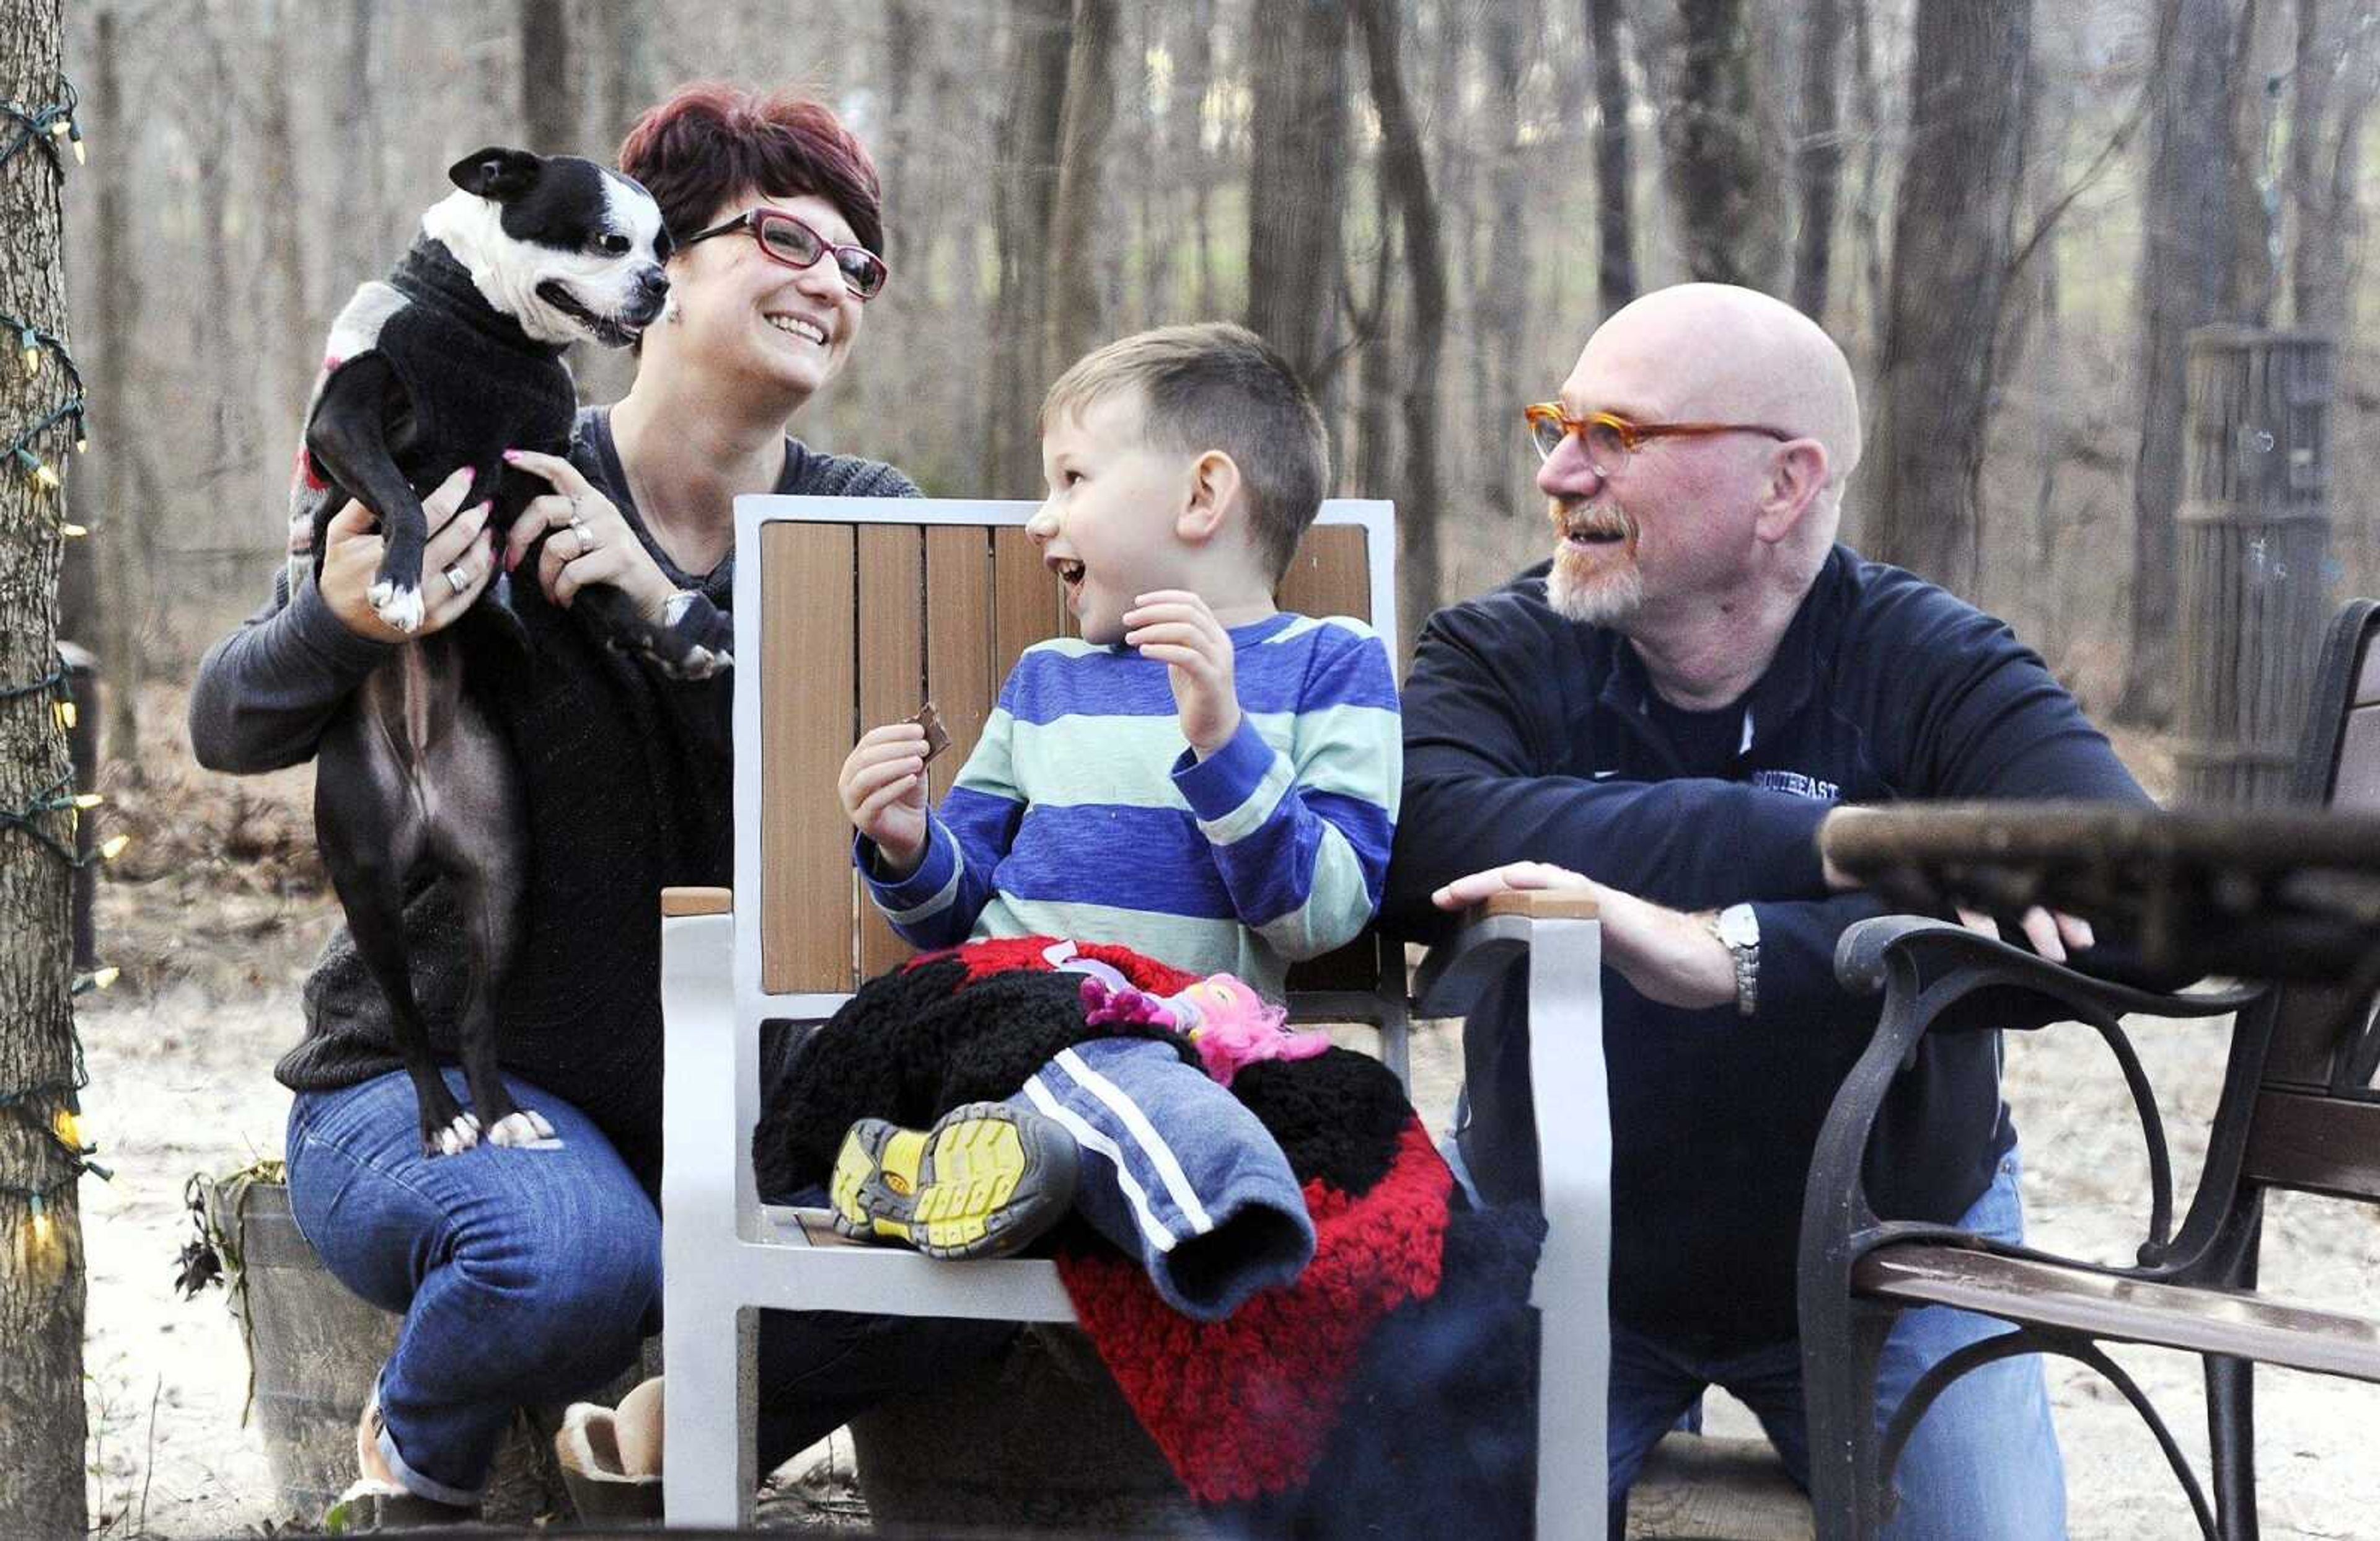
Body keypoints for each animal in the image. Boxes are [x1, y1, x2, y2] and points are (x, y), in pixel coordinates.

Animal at [293, 148, 681, 1157]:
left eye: (666, 247)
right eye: (607, 241)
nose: (660, 285)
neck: (492, 335)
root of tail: (425, 797)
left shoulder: (542, 475)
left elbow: (597, 570)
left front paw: (668, 634)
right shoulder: (348, 417)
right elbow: (404, 494)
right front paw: (400, 578)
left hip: (503, 879)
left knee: (471, 1016)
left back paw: (501, 1109)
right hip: (367, 883)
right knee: (408, 1020)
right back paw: (443, 1120)